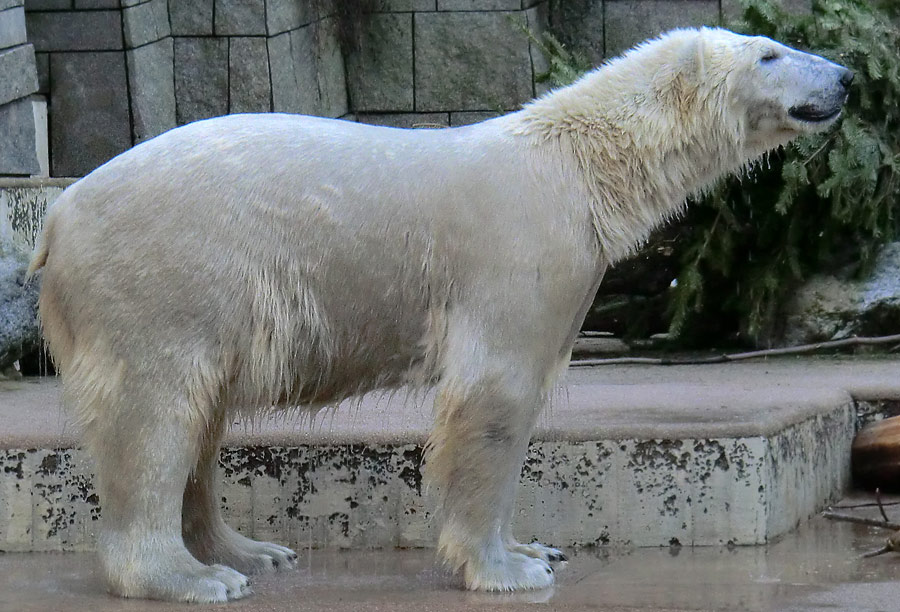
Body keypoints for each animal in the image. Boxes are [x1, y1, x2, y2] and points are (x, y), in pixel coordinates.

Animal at [28, 26, 852, 600]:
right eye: (770, 53)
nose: (846, 76)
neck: (581, 170)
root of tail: (58, 215)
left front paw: (534, 548)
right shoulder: (519, 249)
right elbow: (494, 395)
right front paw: (505, 570)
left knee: (202, 414)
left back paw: (249, 550)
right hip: (164, 276)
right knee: (156, 413)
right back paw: (192, 577)